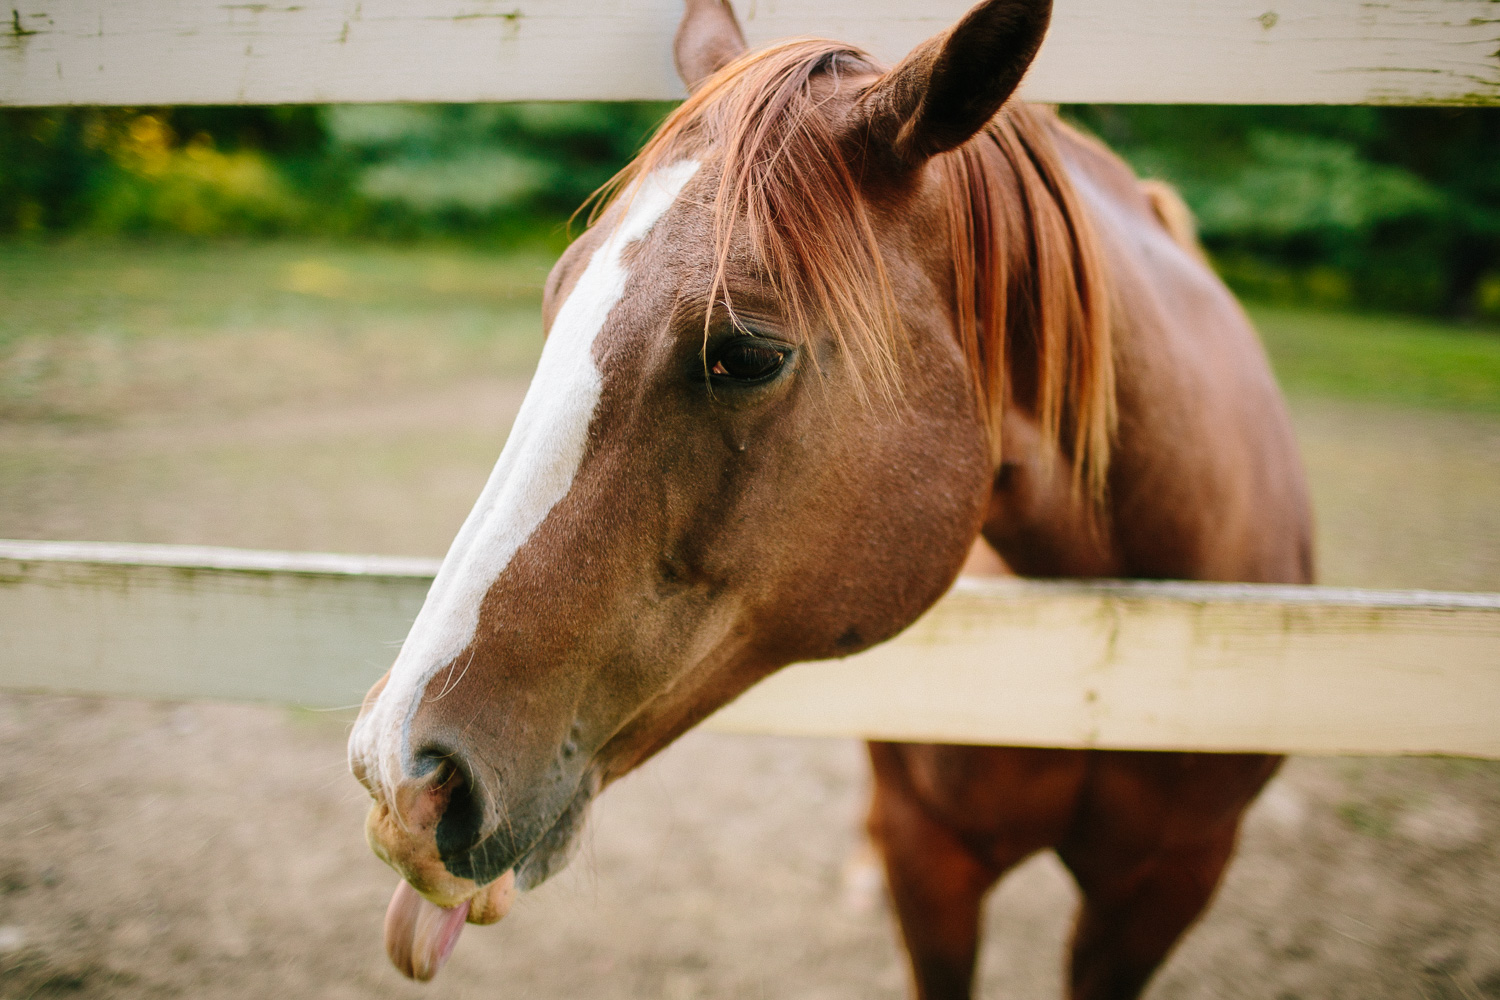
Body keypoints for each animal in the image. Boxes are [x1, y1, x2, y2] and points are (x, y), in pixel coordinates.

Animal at [351, 1, 1314, 995]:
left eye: (747, 353)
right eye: (555, 299)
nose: (403, 779)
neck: (1122, 646)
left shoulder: (1164, 885)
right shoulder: (928, 854)